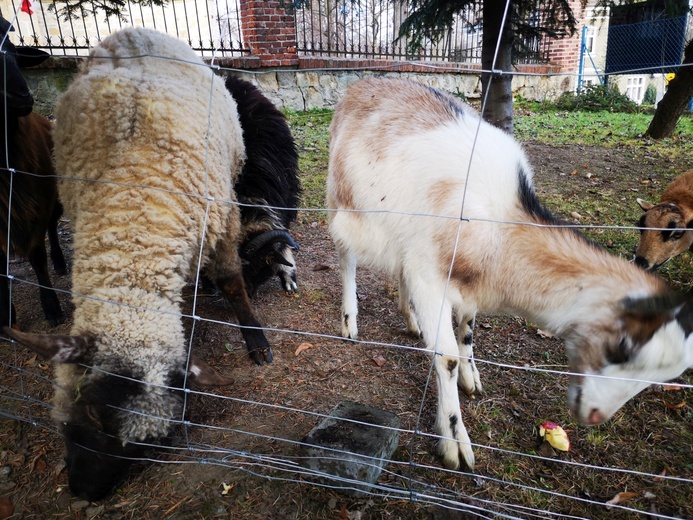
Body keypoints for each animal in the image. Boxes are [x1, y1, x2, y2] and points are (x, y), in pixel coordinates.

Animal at [4, 26, 270, 502]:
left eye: (140, 448)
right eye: (89, 413)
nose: (84, 491)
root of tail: (133, 30)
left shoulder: (222, 217)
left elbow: (233, 282)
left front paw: (256, 342)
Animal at [328, 77, 692, 472]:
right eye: (624, 349)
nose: (595, 416)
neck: (502, 226)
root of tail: (362, 83)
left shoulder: (463, 282)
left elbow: (467, 331)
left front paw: (471, 377)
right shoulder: (430, 276)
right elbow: (446, 357)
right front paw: (455, 442)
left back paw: (410, 320)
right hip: (339, 199)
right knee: (346, 257)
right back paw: (350, 321)